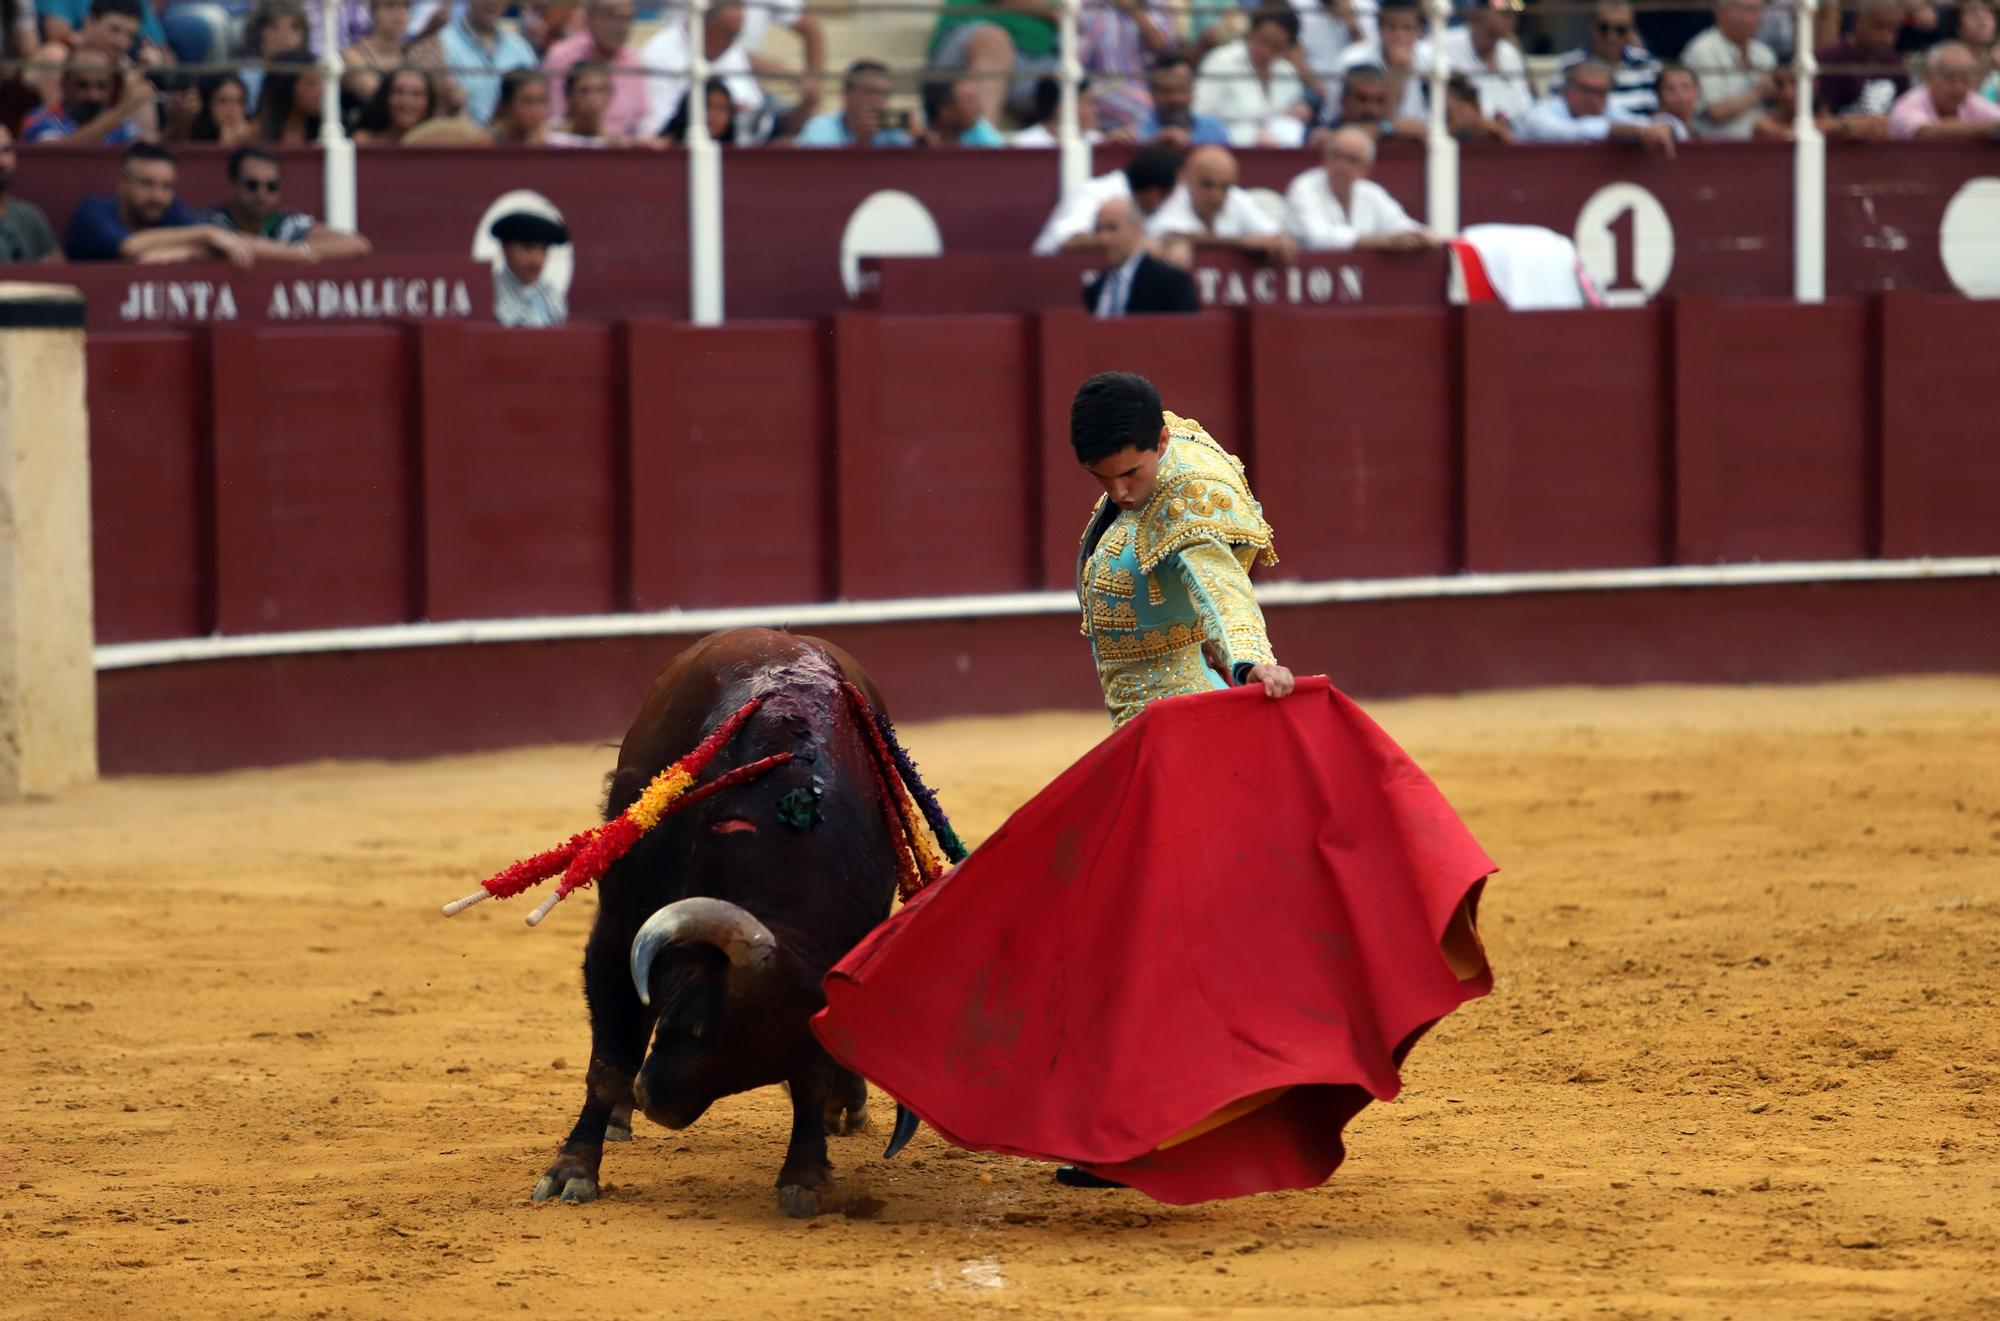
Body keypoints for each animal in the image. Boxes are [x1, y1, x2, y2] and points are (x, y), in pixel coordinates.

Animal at [524, 628, 916, 1216]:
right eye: (694, 1026)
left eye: (767, 1064)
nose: (658, 1104)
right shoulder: (620, 929)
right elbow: (610, 1058)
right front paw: (572, 1171)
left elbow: (813, 1077)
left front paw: (805, 1174)